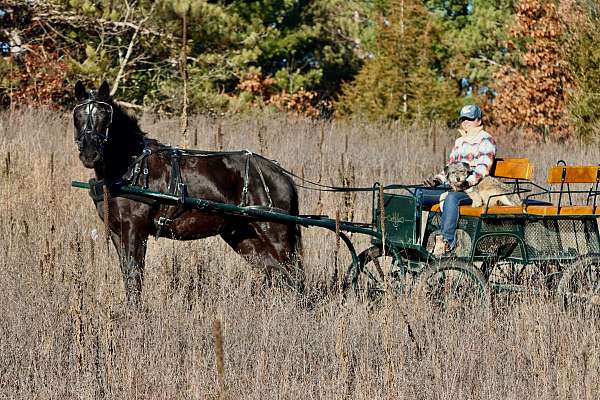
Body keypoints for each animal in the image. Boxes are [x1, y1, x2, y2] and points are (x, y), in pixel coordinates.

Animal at [72, 81, 302, 306]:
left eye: (105, 117)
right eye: (77, 117)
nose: (90, 154)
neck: (131, 167)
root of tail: (281, 175)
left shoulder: (135, 229)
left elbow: (134, 274)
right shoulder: (116, 231)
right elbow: (127, 274)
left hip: (275, 234)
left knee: (293, 277)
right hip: (245, 237)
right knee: (277, 274)